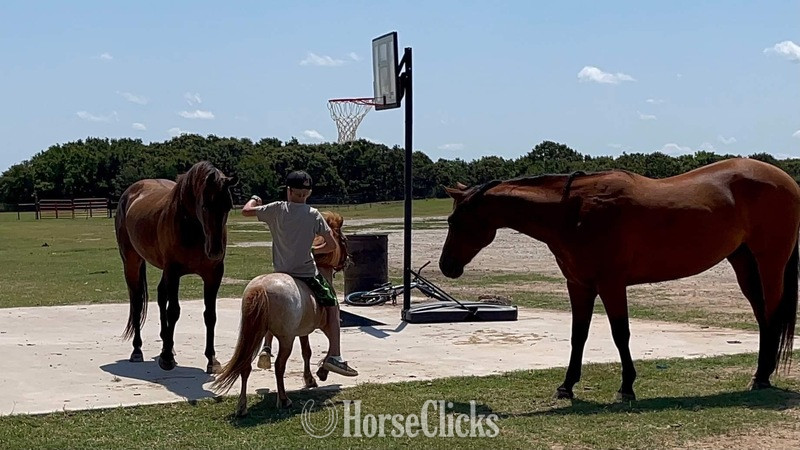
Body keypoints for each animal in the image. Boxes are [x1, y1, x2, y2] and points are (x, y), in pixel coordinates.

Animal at [114, 161, 238, 374]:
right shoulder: (173, 272)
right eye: (205, 205)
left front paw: (212, 360)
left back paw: (168, 344)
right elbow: (173, 311)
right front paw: (166, 359)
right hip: (132, 262)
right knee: (137, 302)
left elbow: (210, 315)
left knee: (160, 296)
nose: (215, 251)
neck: (192, 227)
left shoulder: (213, 275)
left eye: (228, 206)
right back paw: (137, 351)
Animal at [438, 157, 800, 401]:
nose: (446, 266)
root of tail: (786, 180)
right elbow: (578, 336)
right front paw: (566, 386)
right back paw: (761, 375)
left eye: (456, 221)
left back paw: (761, 378)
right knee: (763, 318)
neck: (574, 212)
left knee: (771, 315)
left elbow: (620, 334)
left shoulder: (611, 285)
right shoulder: (579, 285)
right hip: (744, 263)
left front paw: (626, 388)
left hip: (770, 264)